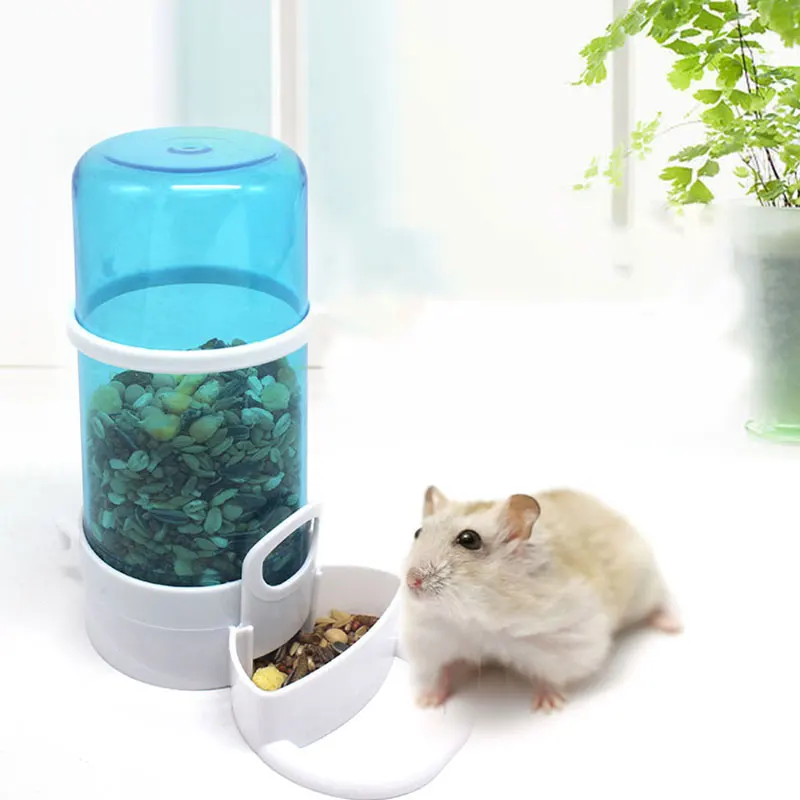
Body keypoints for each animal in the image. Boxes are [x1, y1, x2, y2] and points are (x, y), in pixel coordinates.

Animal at [400, 486, 681, 712]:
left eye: (469, 539)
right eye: (417, 532)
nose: (411, 580)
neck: (474, 619)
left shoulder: (565, 639)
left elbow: (550, 677)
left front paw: (548, 707)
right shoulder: (434, 638)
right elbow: (441, 671)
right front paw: (426, 702)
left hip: (646, 584)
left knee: (661, 603)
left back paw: (673, 626)